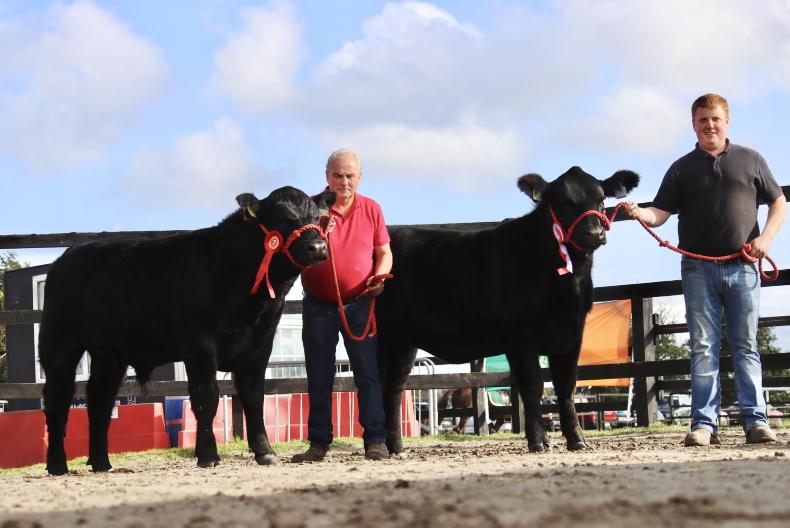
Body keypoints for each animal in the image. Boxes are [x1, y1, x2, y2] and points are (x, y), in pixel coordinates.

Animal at [39, 186, 335, 475]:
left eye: (316, 218)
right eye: (284, 219)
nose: (317, 247)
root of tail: (66, 258)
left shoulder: (260, 343)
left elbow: (253, 397)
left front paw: (265, 452)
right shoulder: (200, 343)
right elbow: (206, 397)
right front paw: (208, 455)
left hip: (109, 355)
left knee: (100, 400)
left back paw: (101, 462)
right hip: (59, 344)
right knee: (58, 399)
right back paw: (57, 465)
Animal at [376, 166, 639, 454]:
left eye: (601, 199)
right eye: (561, 201)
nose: (593, 233)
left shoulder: (572, 332)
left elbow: (566, 386)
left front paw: (576, 440)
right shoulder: (519, 333)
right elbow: (532, 386)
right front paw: (537, 441)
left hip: (403, 341)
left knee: (394, 388)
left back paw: (396, 446)